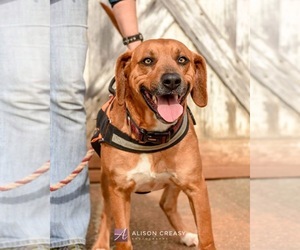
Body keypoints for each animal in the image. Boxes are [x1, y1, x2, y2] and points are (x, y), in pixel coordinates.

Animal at [91, 39, 216, 250]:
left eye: (182, 59)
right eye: (147, 61)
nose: (172, 80)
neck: (152, 137)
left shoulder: (196, 187)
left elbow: (206, 238)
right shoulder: (119, 191)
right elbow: (123, 240)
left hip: (177, 180)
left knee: (166, 203)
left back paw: (185, 235)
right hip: (106, 184)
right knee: (106, 213)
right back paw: (100, 244)